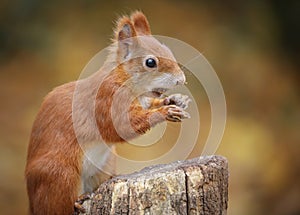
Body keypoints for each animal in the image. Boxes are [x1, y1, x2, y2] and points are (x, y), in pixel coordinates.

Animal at [25, 11, 190, 215]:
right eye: (150, 62)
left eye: (167, 49)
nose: (181, 80)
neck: (123, 78)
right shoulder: (106, 100)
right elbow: (121, 126)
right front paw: (165, 111)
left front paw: (176, 100)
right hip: (59, 174)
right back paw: (77, 201)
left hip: (104, 166)